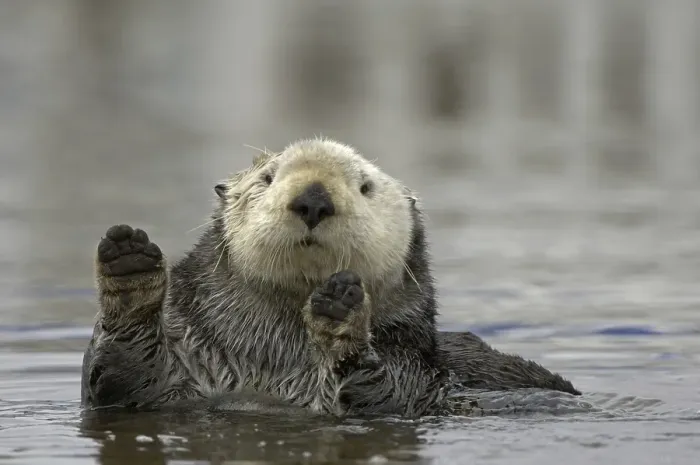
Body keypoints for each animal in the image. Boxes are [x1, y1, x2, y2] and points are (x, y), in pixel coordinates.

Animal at [80, 138, 579, 417]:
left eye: (365, 186)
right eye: (267, 177)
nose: (314, 199)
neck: (273, 357)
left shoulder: (411, 370)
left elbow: (377, 392)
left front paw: (341, 315)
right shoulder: (177, 361)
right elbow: (122, 375)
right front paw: (130, 264)